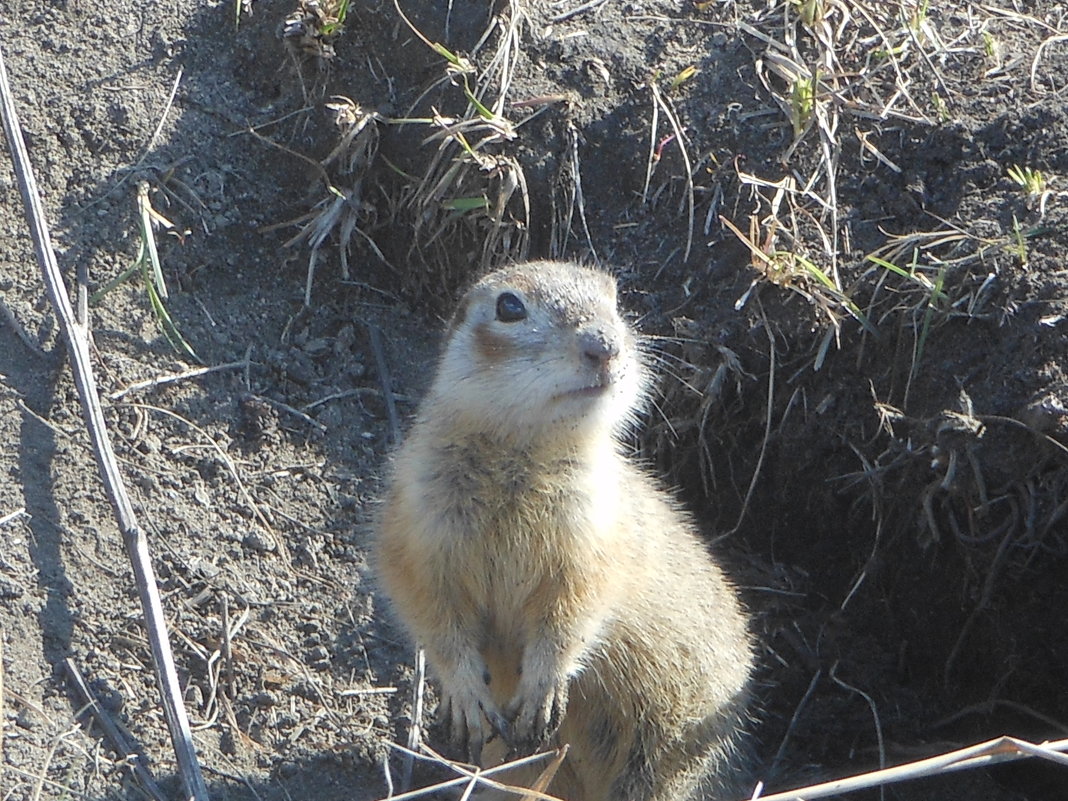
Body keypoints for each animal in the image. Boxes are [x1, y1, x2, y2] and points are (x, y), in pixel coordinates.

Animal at [371, 263, 756, 801]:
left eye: (615, 301)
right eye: (509, 306)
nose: (605, 346)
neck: (522, 451)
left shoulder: (593, 538)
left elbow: (573, 610)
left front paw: (544, 688)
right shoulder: (415, 526)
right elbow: (431, 615)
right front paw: (466, 697)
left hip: (674, 743)